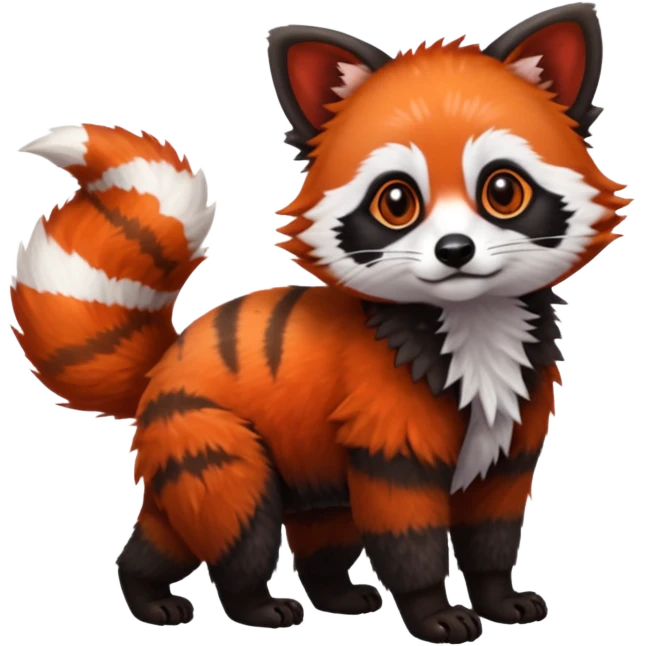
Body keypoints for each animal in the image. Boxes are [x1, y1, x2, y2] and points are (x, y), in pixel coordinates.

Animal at [9, 3, 631, 644]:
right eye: (396, 202)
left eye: (503, 190)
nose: (455, 250)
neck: (472, 324)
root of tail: (166, 359)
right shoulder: (390, 434)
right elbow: (409, 534)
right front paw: (432, 612)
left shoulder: (509, 445)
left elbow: (492, 535)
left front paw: (498, 599)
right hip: (212, 440)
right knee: (237, 529)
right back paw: (250, 606)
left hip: (288, 463)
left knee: (248, 534)